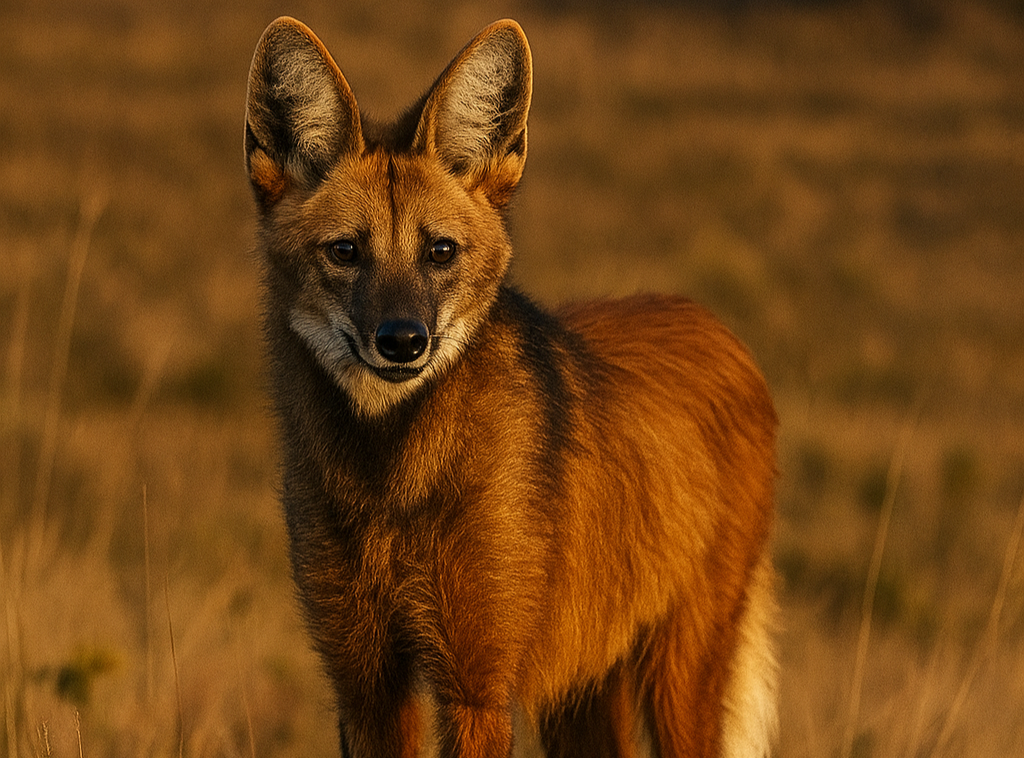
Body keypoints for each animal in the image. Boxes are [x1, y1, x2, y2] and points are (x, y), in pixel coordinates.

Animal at [245, 16, 778, 758]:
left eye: (439, 252)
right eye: (346, 251)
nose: (403, 341)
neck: (392, 480)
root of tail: (709, 318)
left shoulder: (476, 687)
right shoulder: (364, 683)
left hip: (679, 671)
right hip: (582, 685)